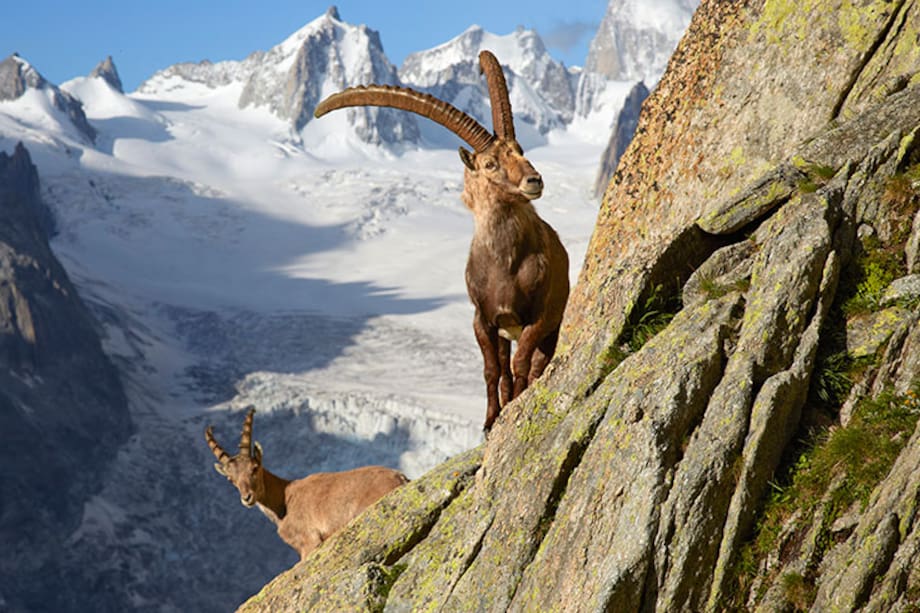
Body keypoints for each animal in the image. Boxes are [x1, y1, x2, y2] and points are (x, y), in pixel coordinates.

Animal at [205, 407, 408, 560]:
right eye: (231, 479)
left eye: (254, 468)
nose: (247, 497)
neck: (283, 499)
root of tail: (401, 478)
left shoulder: (309, 542)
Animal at [314, 51, 569, 432]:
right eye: (490, 163)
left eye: (520, 149)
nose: (533, 180)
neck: (505, 266)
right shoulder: (483, 319)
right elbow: (492, 370)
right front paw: (490, 421)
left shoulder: (536, 317)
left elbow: (522, 364)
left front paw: (513, 408)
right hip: (504, 332)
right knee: (505, 369)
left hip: (551, 325)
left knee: (535, 366)